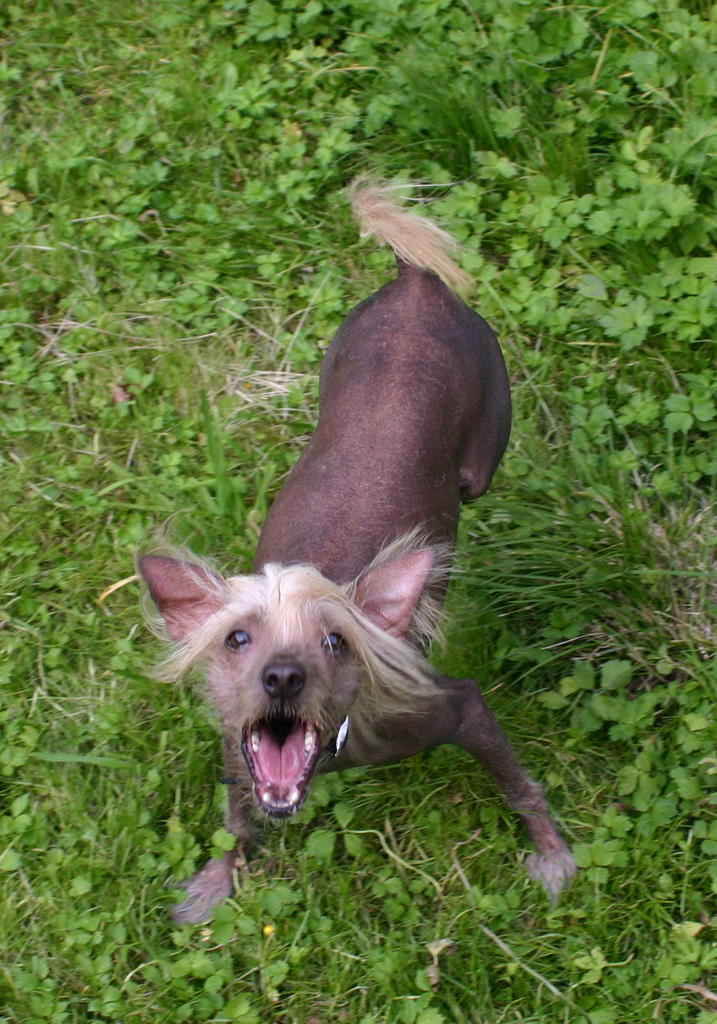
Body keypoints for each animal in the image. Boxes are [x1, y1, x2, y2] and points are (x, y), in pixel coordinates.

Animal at [139, 181, 576, 923]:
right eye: (236, 639)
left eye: (335, 642)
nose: (282, 677)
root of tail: (415, 285)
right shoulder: (235, 748)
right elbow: (237, 820)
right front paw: (219, 877)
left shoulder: (456, 708)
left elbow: (522, 788)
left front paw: (550, 854)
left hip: (482, 455)